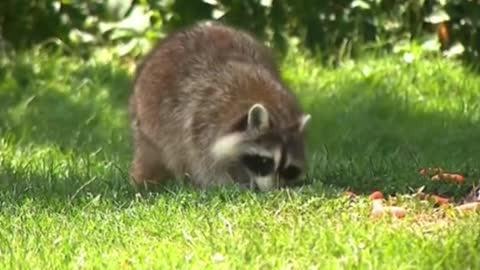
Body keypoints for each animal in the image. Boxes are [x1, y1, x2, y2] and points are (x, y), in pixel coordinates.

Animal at [128, 20, 312, 192]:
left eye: (289, 169)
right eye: (265, 161)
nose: (273, 191)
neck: (274, 108)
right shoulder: (203, 122)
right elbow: (206, 164)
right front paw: (230, 185)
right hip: (151, 115)